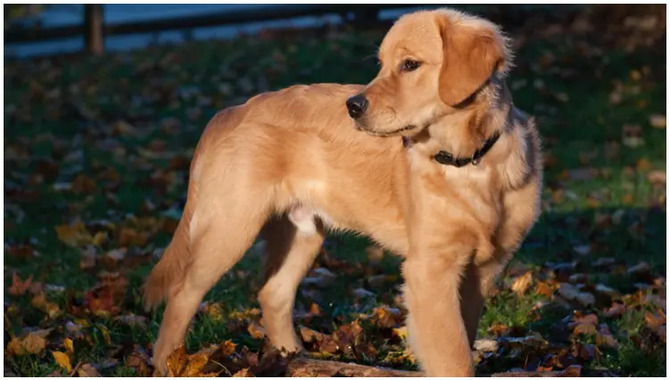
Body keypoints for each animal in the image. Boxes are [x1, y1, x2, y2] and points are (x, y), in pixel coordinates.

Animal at [146, 7, 540, 376]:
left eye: (410, 64)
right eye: (382, 64)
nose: (353, 106)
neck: (470, 161)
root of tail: (230, 112)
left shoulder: (483, 268)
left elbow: (464, 337)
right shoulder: (430, 269)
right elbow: (452, 354)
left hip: (301, 232)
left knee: (273, 293)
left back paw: (295, 358)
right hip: (231, 226)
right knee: (183, 292)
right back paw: (167, 363)